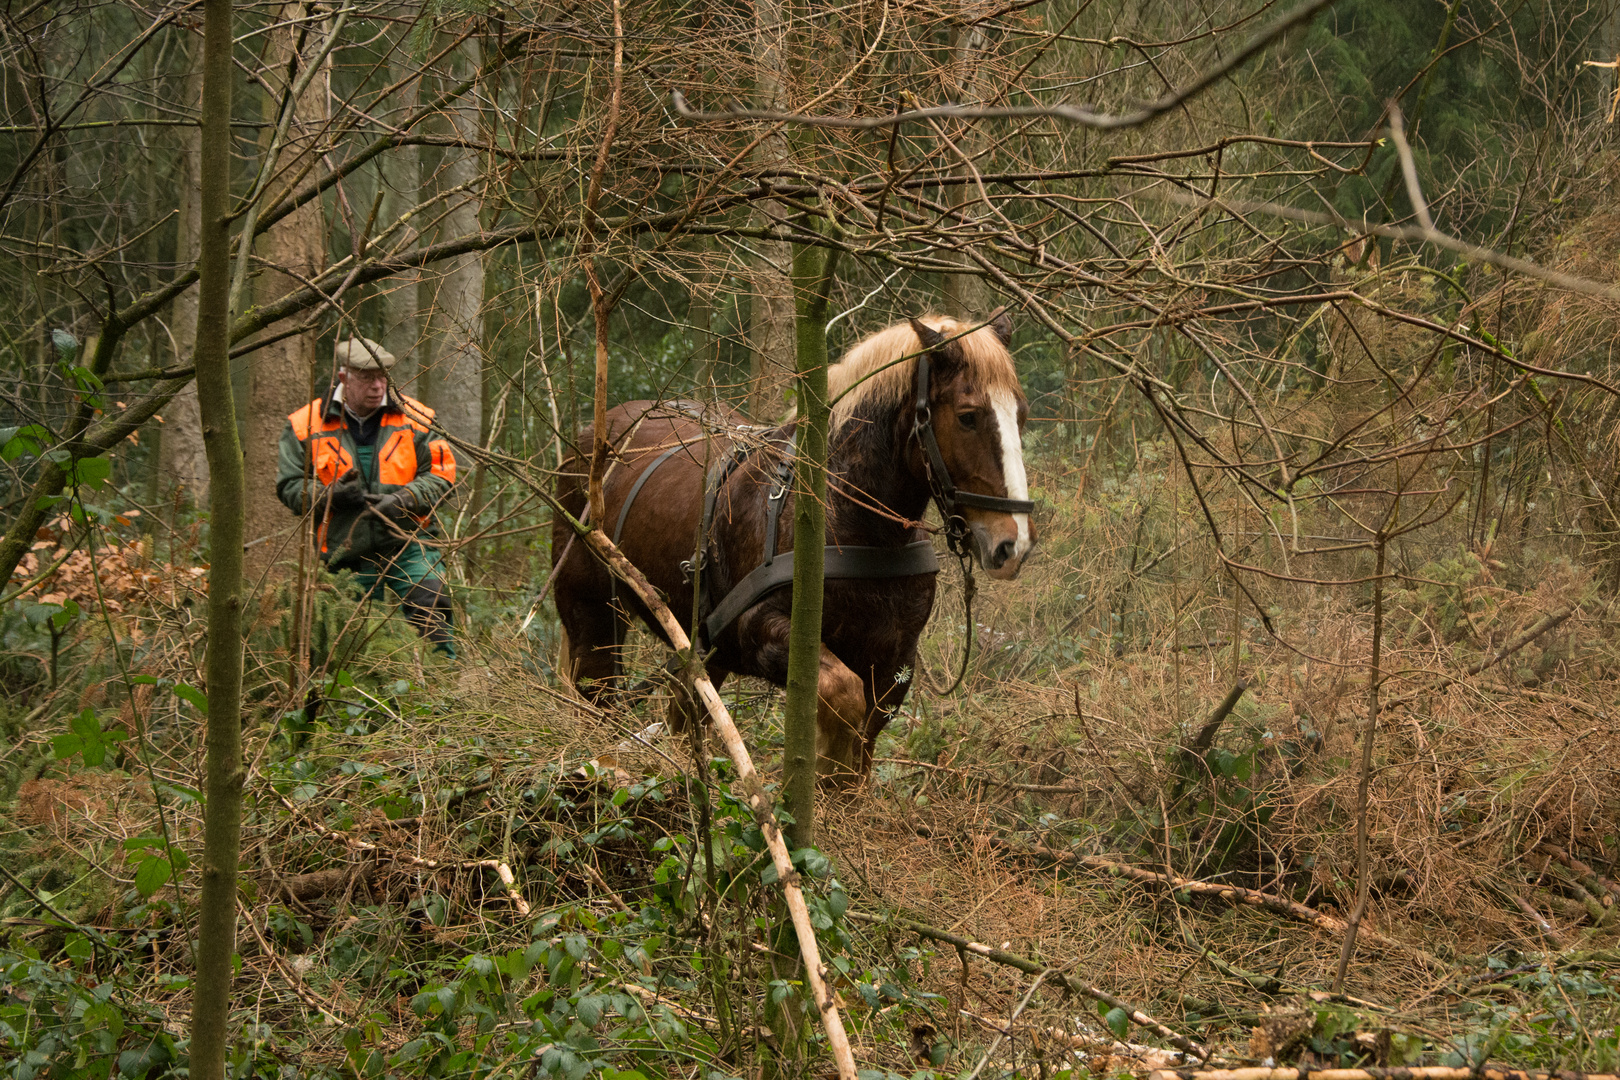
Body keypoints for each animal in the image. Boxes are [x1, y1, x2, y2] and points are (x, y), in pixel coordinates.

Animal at [554, 312, 1036, 786]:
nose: (1013, 544)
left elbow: (862, 746)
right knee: (596, 698)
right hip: (591, 618)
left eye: (1022, 415)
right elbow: (843, 696)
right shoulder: (757, 630)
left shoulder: (894, 660)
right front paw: (821, 767)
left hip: (703, 650)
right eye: (968, 417)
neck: (852, 522)